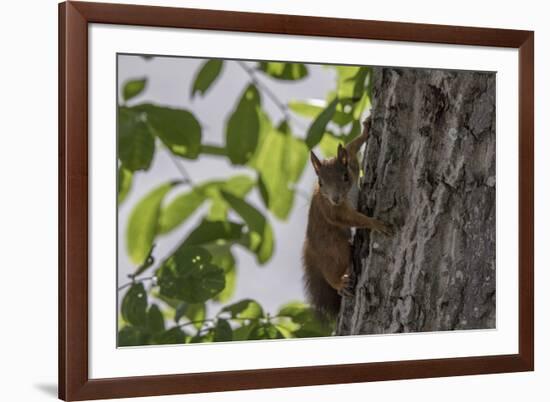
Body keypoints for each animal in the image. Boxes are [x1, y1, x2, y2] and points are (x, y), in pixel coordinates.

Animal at [302, 117, 392, 320]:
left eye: (345, 176)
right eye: (320, 183)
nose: (335, 198)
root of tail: (311, 248)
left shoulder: (351, 162)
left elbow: (351, 147)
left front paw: (366, 130)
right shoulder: (333, 210)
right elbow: (350, 218)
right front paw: (375, 223)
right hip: (335, 248)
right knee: (332, 268)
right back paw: (338, 283)